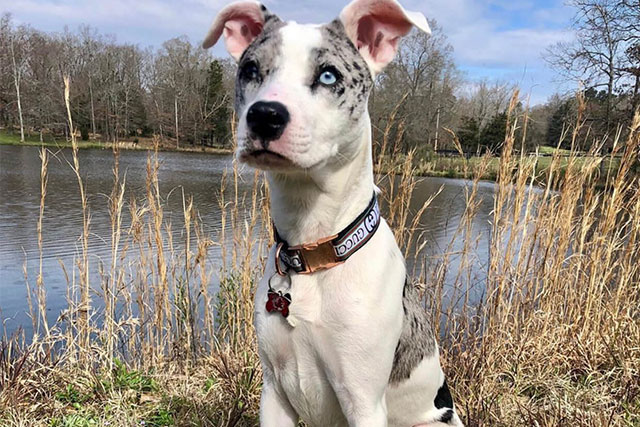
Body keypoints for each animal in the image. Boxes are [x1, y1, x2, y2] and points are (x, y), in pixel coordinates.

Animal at [202, 1, 462, 426]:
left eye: (328, 75)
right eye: (251, 69)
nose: (265, 115)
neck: (314, 249)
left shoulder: (363, 401)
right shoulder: (274, 391)